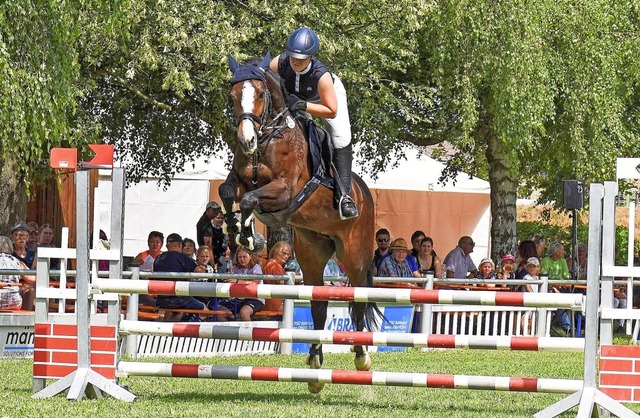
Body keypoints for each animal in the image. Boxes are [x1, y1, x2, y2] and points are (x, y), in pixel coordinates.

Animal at [220, 54, 380, 394]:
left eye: (259, 94)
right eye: (233, 95)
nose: (246, 140)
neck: (268, 138)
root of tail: (364, 193)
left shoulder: (284, 191)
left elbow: (251, 200)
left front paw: (250, 237)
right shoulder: (241, 181)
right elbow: (228, 191)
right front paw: (235, 231)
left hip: (355, 255)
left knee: (358, 299)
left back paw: (362, 357)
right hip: (311, 252)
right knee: (319, 303)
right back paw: (315, 365)